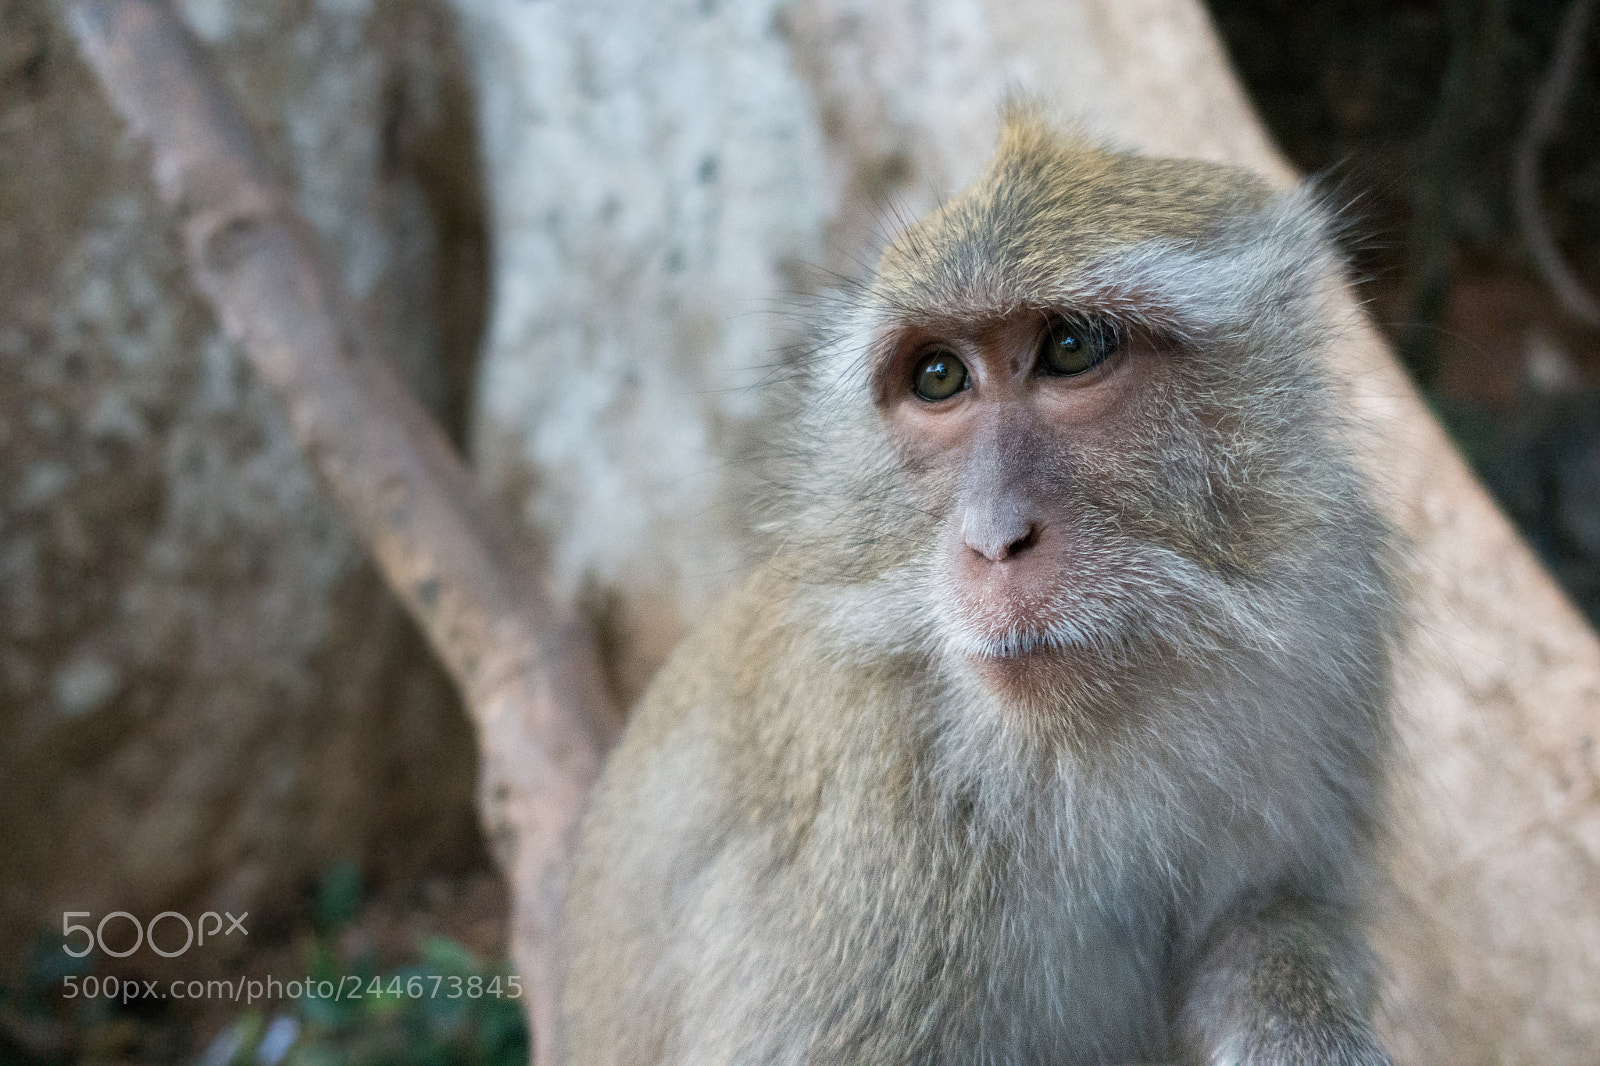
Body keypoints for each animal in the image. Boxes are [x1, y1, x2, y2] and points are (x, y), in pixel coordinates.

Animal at [559, 105, 1398, 1066]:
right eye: (939, 377)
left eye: (1071, 348)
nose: (995, 540)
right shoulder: (879, 837)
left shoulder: (1325, 613)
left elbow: (1267, 918)